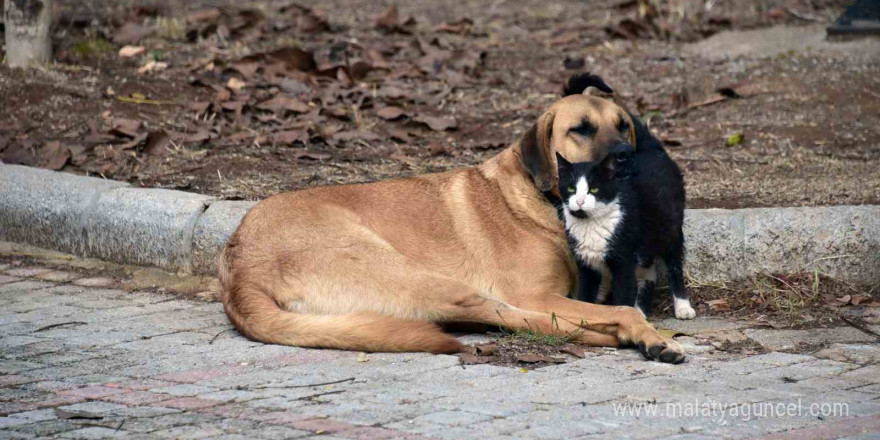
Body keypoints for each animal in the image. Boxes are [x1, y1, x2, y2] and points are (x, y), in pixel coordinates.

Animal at [556, 149, 696, 320]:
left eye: (594, 189)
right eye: (571, 189)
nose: (580, 201)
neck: (590, 224)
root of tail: (655, 152)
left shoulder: (623, 262)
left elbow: (624, 295)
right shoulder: (585, 265)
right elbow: (585, 296)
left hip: (671, 232)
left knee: (675, 267)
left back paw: (683, 306)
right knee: (648, 274)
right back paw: (640, 310)